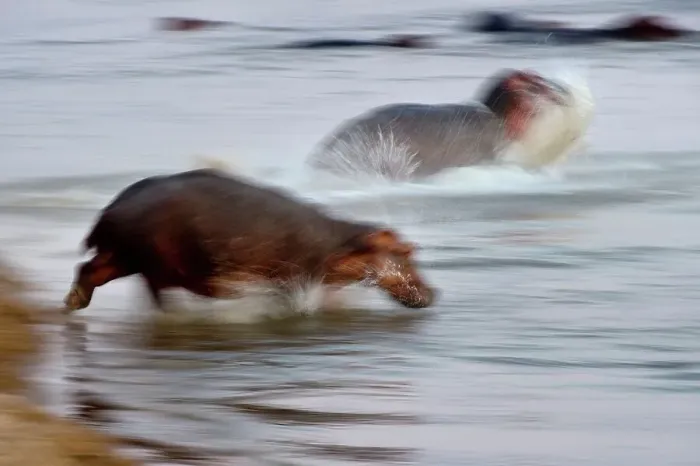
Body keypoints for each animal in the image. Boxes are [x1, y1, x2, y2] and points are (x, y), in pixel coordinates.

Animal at [63, 169, 436, 313]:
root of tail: (112, 208)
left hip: (124, 255)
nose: (435, 293)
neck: (341, 245)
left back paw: (73, 303)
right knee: (154, 292)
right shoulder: (296, 279)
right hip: (149, 261)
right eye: (407, 250)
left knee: (89, 269)